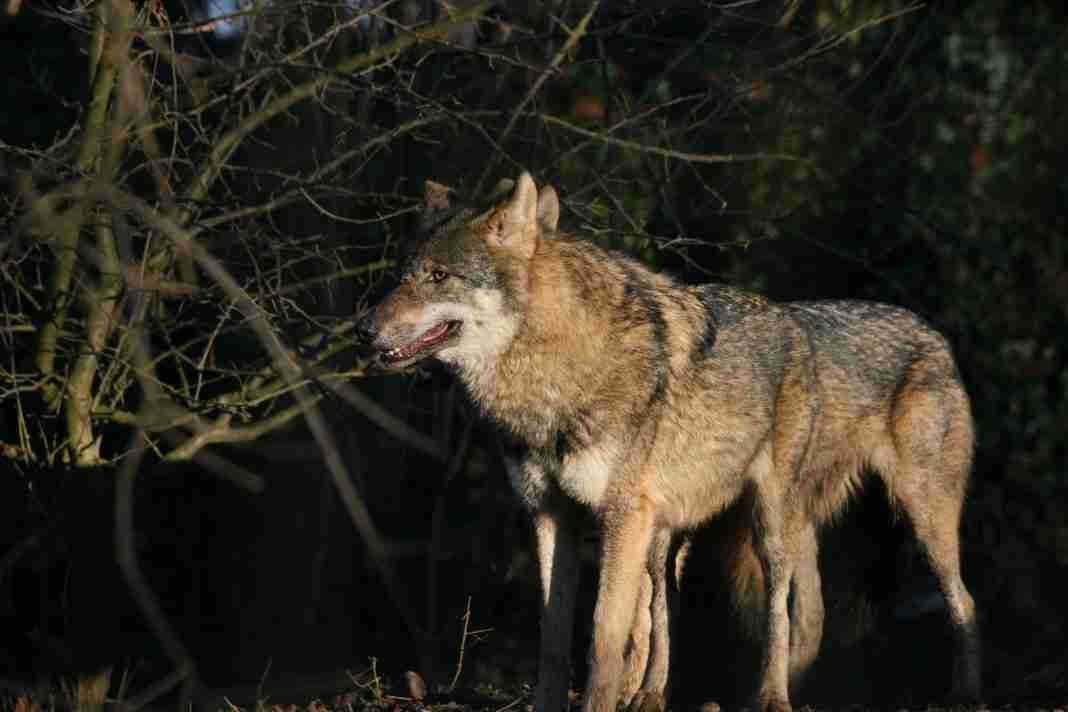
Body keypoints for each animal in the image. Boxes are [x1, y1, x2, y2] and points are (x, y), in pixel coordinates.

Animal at [356, 172, 981, 712]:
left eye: (438, 276)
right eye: (401, 273)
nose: (362, 329)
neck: (556, 375)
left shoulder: (620, 517)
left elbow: (604, 642)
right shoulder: (553, 515)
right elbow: (557, 640)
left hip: (824, 522)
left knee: (936, 601)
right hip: (673, 536)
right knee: (682, 612)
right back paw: (663, 696)